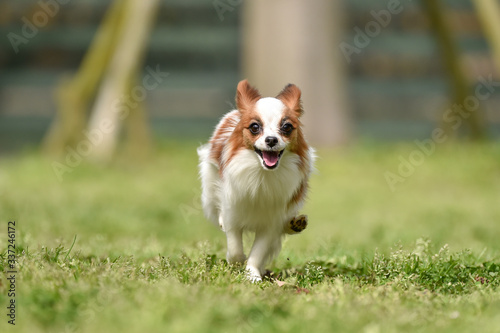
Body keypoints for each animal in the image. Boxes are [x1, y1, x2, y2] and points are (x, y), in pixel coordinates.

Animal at [197, 80, 314, 280]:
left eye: (287, 127)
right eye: (254, 127)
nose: (271, 140)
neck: (262, 174)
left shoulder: (271, 222)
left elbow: (258, 252)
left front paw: (252, 274)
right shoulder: (232, 212)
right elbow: (235, 247)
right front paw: (237, 262)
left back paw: (294, 225)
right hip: (210, 186)